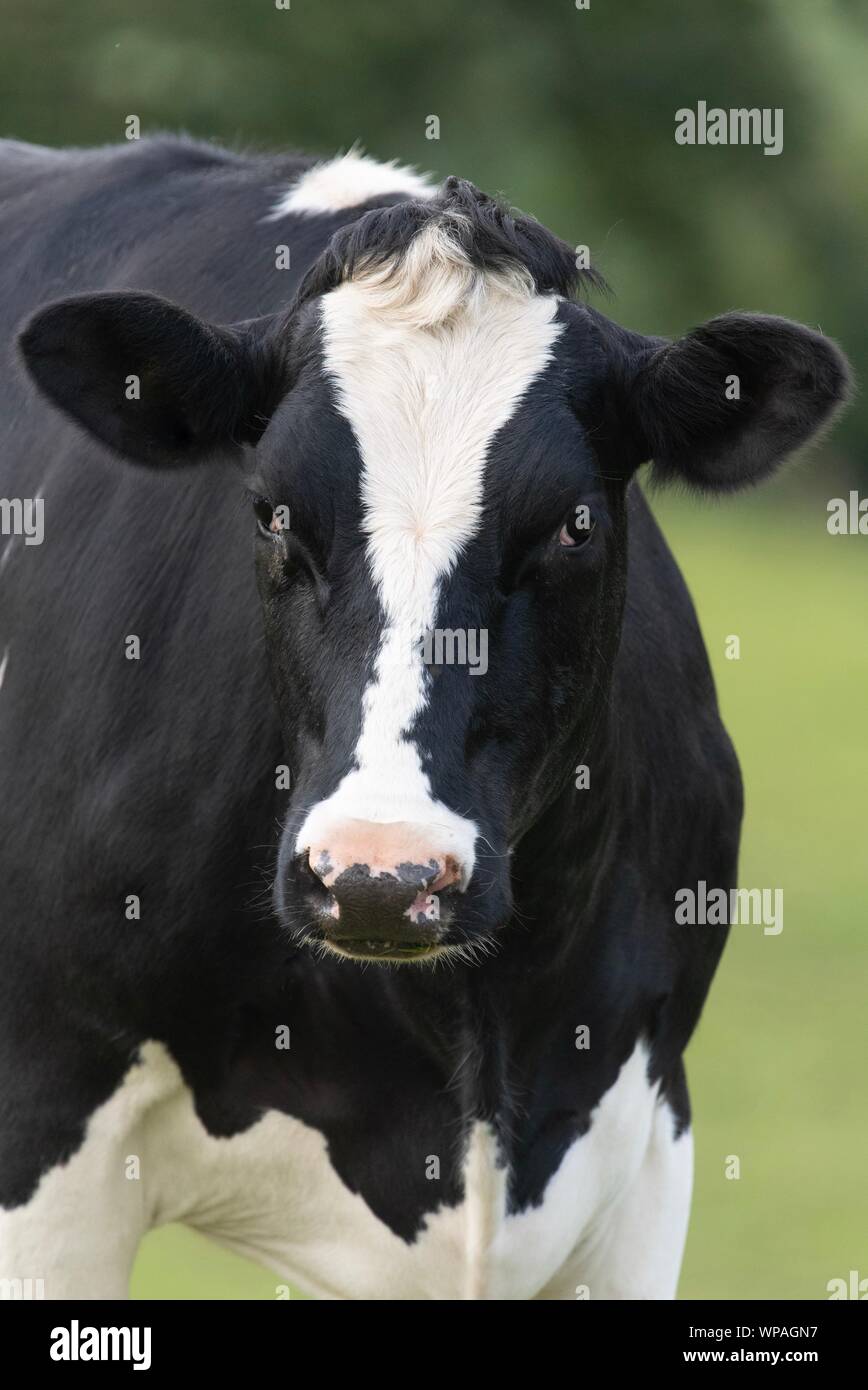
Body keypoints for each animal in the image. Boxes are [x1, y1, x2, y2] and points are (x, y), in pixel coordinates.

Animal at [0, 136, 850, 1301]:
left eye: (575, 523)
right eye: (271, 512)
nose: (377, 874)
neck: (476, 1039)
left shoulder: (643, 1151)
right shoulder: (44, 1127)